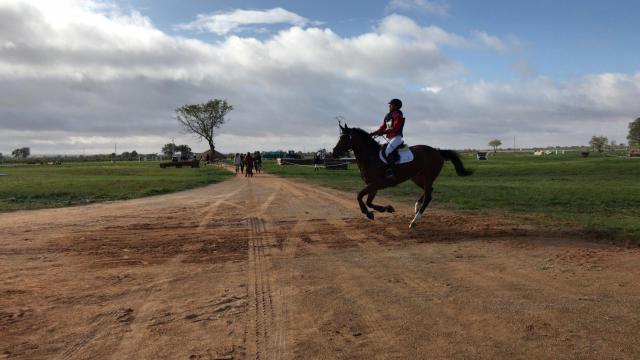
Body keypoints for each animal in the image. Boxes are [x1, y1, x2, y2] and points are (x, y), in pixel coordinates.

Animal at [332, 124, 472, 228]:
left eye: (345, 138)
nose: (334, 152)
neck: (370, 157)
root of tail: (437, 151)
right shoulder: (373, 186)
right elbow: (368, 201)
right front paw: (387, 209)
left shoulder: (376, 184)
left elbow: (359, 196)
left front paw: (368, 214)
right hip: (417, 177)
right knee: (429, 191)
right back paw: (416, 206)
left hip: (427, 176)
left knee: (428, 196)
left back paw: (414, 221)